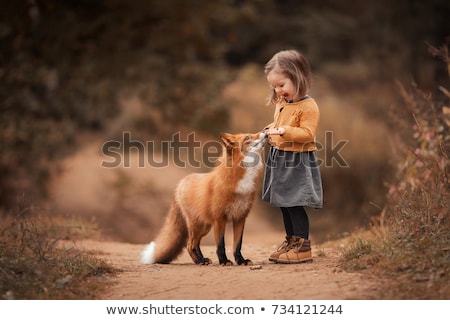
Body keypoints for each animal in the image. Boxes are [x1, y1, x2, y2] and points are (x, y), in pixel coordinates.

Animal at [141, 132, 268, 264]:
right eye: (247, 138)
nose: (265, 132)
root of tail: (181, 183)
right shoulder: (219, 218)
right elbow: (221, 245)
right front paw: (224, 261)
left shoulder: (240, 217)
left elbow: (237, 245)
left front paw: (240, 261)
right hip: (197, 226)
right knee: (189, 244)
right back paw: (199, 261)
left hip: (204, 227)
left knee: (195, 244)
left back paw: (203, 259)